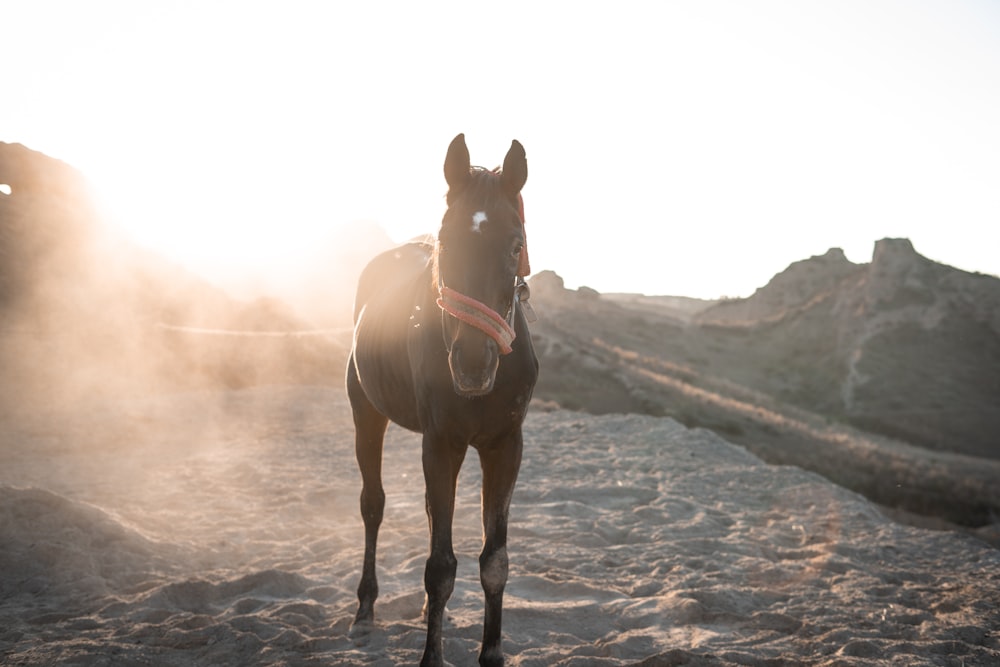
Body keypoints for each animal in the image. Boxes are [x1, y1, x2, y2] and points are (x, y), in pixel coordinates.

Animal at [350, 133, 540, 664]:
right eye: (447, 241)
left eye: (515, 244)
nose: (473, 364)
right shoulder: (441, 444)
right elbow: (439, 567)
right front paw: (431, 656)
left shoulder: (505, 447)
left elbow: (494, 561)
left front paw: (491, 653)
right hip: (366, 414)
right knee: (373, 505)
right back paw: (365, 610)